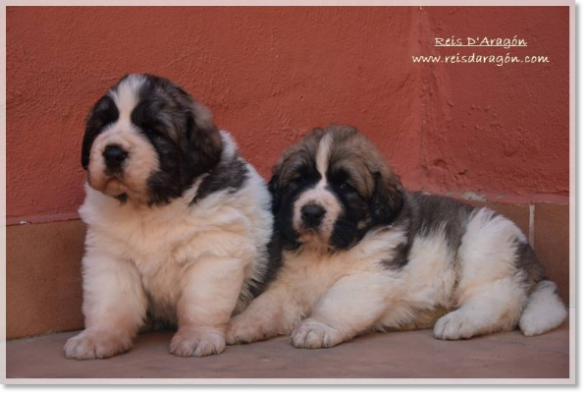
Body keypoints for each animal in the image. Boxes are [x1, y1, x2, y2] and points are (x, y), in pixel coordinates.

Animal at [64, 72, 272, 360]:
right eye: (103, 124)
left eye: (154, 130)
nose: (113, 153)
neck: (151, 208)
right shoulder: (111, 256)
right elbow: (110, 302)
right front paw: (98, 337)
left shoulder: (213, 251)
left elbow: (201, 302)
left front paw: (197, 336)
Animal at [227, 124, 564, 350]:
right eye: (299, 180)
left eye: (345, 186)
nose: (311, 212)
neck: (329, 251)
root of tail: (530, 257)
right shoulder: (291, 282)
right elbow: (268, 305)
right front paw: (241, 324)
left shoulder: (370, 276)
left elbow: (337, 302)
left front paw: (317, 327)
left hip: (484, 241)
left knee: (500, 300)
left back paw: (459, 321)